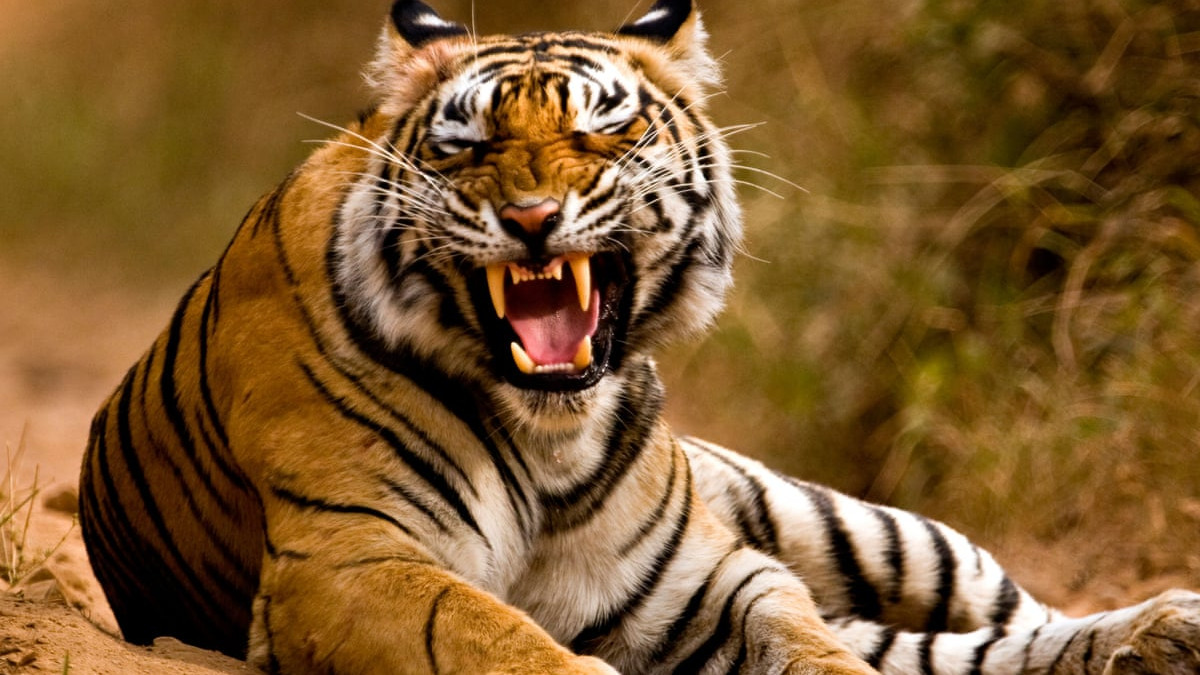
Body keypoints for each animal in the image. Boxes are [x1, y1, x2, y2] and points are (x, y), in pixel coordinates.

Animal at [78, 0, 1200, 673]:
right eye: (466, 143)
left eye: (602, 127)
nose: (532, 217)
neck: (546, 432)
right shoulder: (348, 557)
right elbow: (496, 637)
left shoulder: (708, 575)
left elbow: (809, 637)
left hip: (851, 521)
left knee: (1010, 617)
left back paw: (1162, 626)